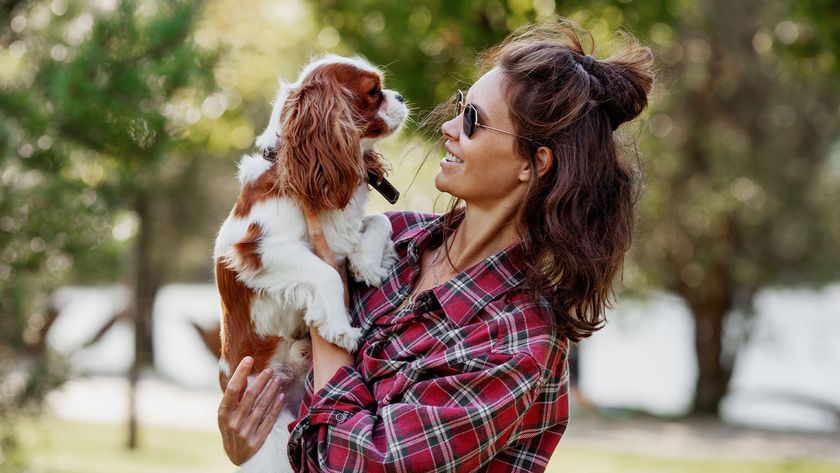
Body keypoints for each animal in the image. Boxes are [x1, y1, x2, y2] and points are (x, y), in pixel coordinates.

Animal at [212, 56, 406, 472]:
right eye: (373, 92)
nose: (400, 96)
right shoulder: (259, 250)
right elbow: (326, 274)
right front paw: (340, 328)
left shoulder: (342, 231)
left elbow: (378, 221)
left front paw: (367, 263)